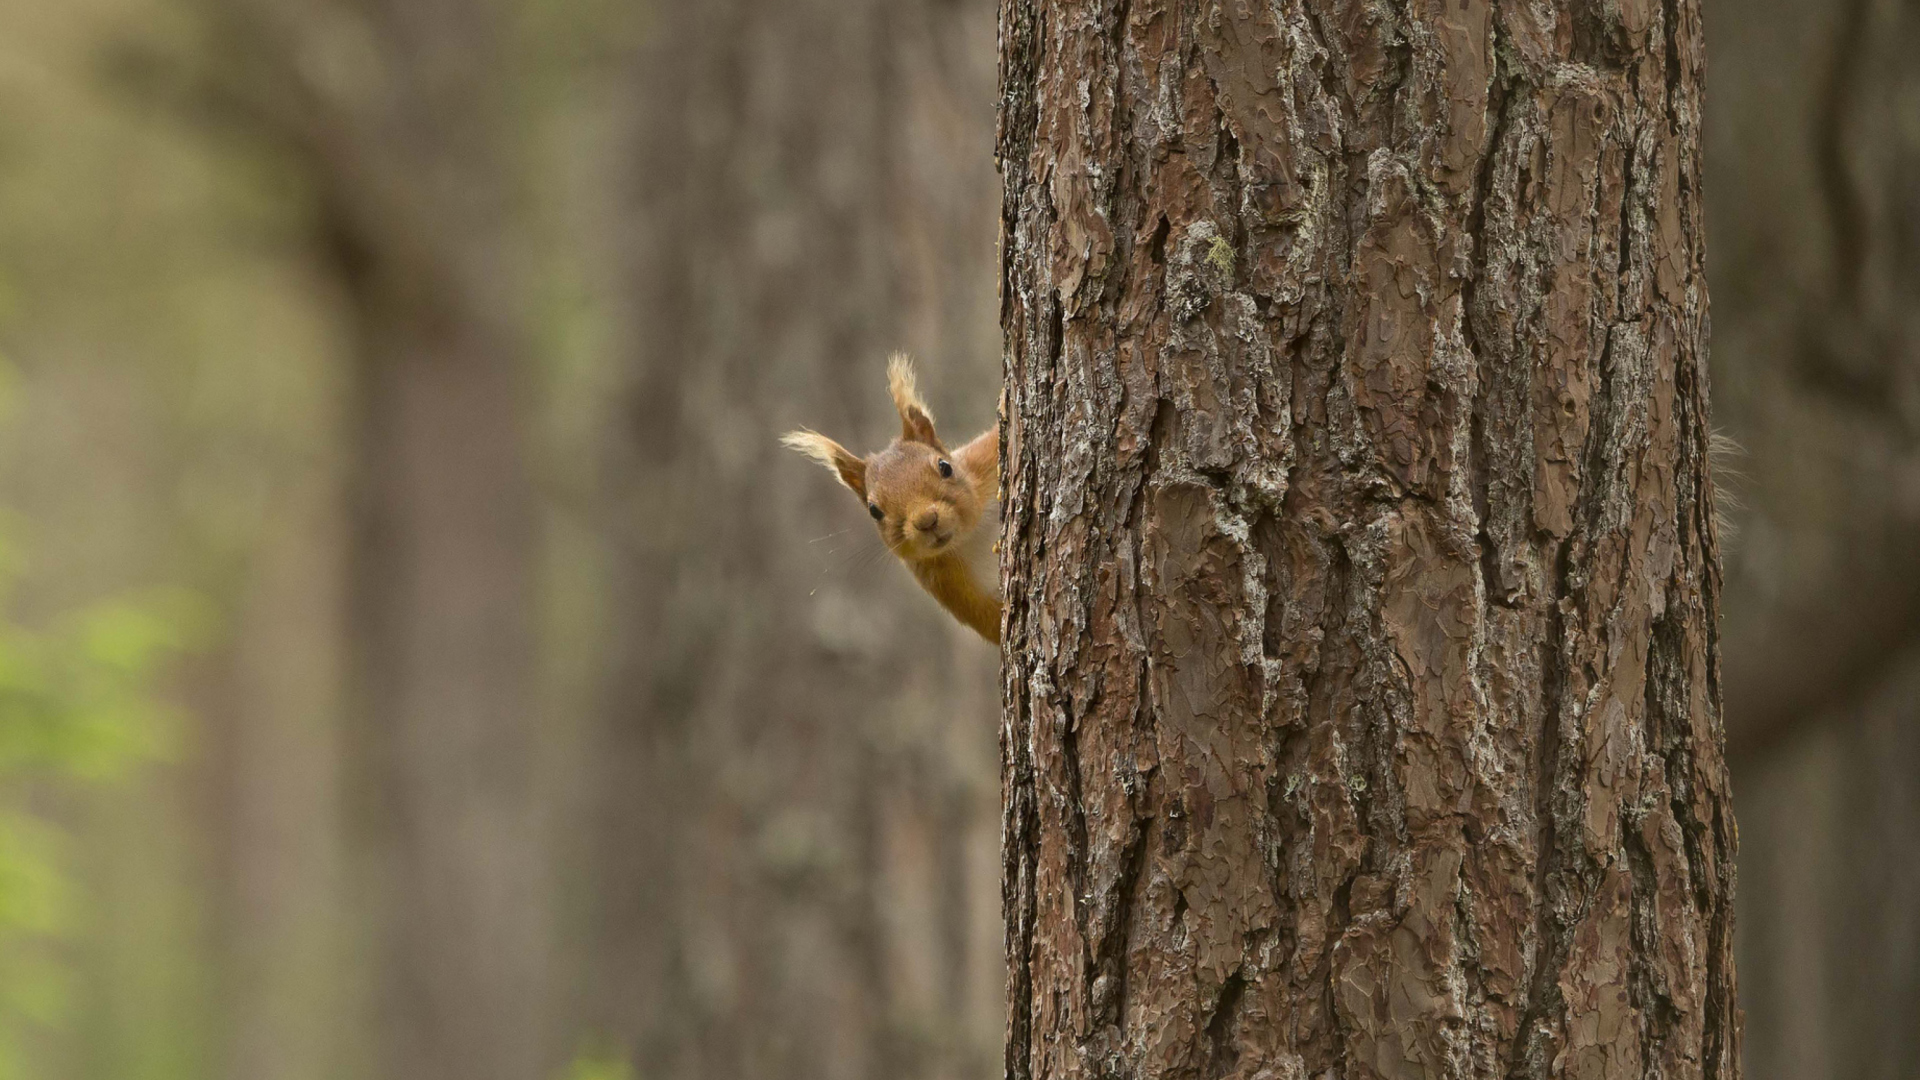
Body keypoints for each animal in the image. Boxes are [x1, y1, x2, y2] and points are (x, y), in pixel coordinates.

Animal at [775, 353, 998, 638]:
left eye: (945, 467)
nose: (926, 520)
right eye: (874, 511)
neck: (970, 538)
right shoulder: (952, 589)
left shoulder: (984, 459)